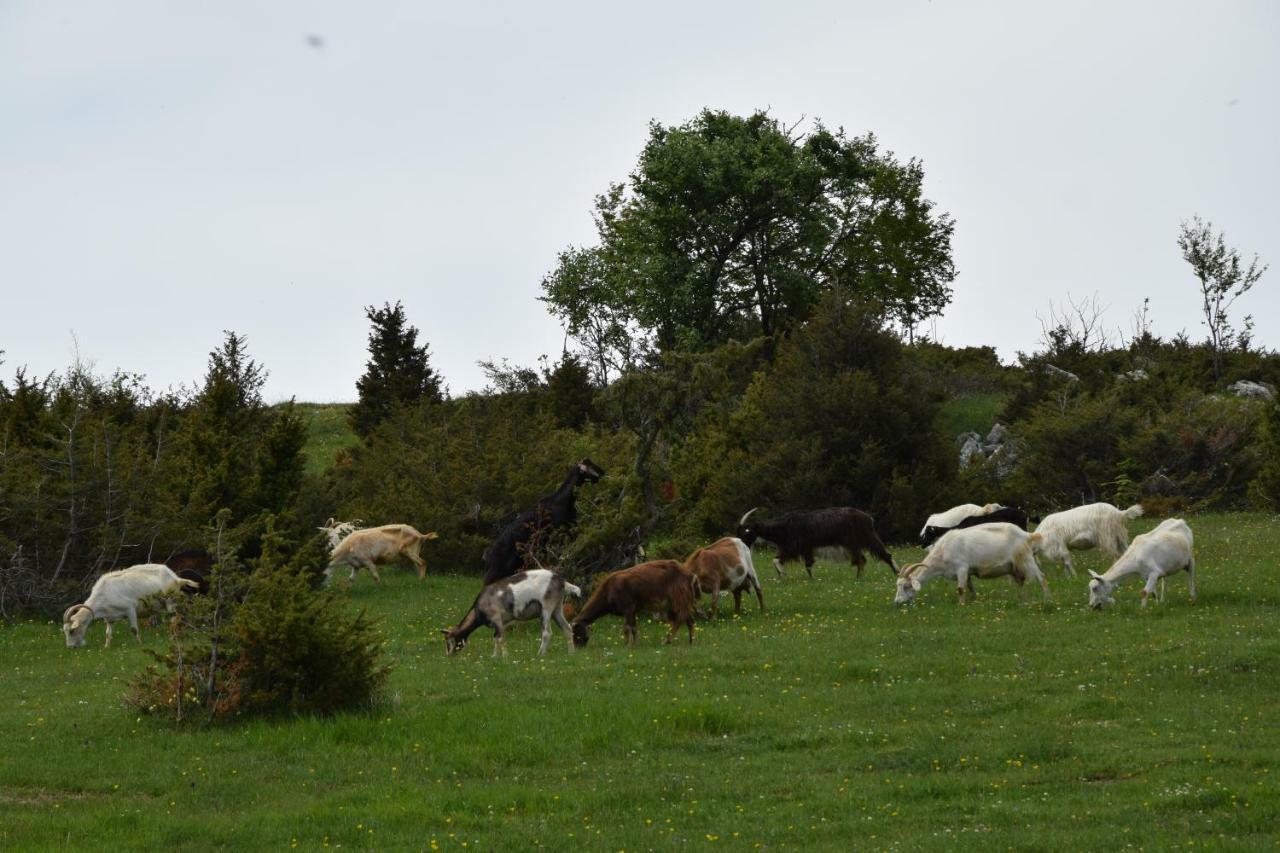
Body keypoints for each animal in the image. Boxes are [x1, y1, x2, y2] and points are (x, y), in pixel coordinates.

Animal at [60, 560, 197, 648]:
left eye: (72, 631)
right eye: (65, 631)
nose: (70, 647)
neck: (104, 593)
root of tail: (175, 577)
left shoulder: (130, 609)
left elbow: (134, 629)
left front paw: (139, 644)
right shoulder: (109, 618)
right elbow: (108, 633)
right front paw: (106, 647)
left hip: (170, 601)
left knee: (174, 618)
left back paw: (172, 637)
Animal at [440, 568, 581, 653]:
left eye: (448, 639)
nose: (449, 655)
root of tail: (562, 581)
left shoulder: (496, 619)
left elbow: (500, 638)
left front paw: (504, 658)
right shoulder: (501, 623)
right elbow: (496, 638)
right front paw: (495, 657)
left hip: (546, 608)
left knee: (547, 633)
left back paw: (540, 654)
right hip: (557, 609)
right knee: (567, 629)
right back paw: (571, 653)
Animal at [573, 558, 701, 645]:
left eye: (577, 633)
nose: (578, 648)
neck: (607, 592)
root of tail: (691, 576)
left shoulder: (628, 607)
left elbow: (628, 628)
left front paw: (629, 645)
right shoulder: (632, 610)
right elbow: (632, 627)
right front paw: (631, 644)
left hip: (678, 598)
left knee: (681, 619)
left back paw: (667, 640)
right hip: (676, 602)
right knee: (688, 620)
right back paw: (691, 642)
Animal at [896, 517, 1044, 604]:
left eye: (906, 586)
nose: (897, 602)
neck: (943, 551)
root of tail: (1027, 535)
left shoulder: (961, 567)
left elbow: (961, 589)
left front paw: (961, 605)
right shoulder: (967, 572)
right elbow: (970, 587)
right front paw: (975, 600)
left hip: (1026, 559)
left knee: (1041, 578)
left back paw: (1046, 599)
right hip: (1014, 567)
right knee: (1021, 582)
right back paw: (1021, 600)